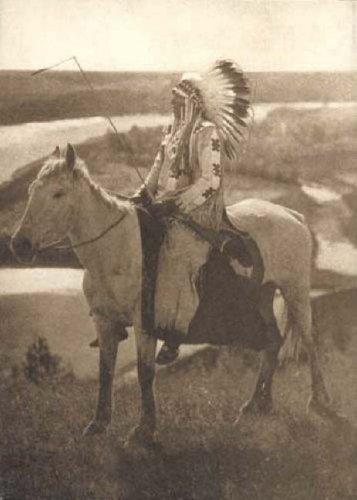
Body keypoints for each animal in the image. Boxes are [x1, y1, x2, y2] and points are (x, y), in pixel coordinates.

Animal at [12, 144, 330, 450]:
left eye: (58, 193)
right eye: (30, 191)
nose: (19, 245)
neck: (117, 250)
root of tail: (293, 215)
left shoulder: (145, 323)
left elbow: (144, 372)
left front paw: (143, 431)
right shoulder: (104, 322)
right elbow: (105, 370)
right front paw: (98, 424)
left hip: (295, 292)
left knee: (310, 342)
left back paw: (319, 402)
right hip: (263, 297)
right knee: (272, 343)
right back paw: (257, 404)